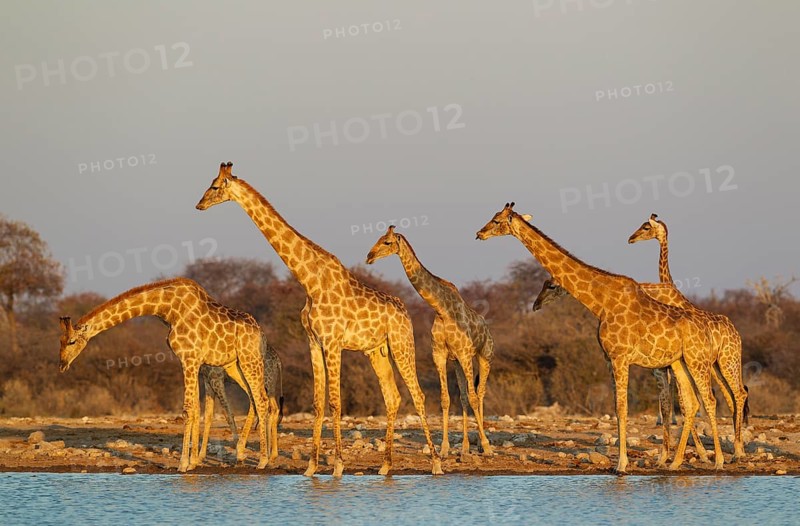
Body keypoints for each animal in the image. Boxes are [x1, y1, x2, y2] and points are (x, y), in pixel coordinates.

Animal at [59, 278, 274, 472]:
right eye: (59, 340)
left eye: (71, 341)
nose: (62, 364)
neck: (167, 309)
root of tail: (261, 333)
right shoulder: (192, 362)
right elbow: (196, 409)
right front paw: (193, 462)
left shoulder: (189, 358)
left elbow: (188, 409)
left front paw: (183, 464)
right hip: (234, 365)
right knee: (254, 399)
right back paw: (243, 455)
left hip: (249, 359)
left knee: (262, 400)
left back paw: (263, 461)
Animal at [196, 162, 443, 477]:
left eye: (215, 186)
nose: (199, 204)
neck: (309, 281)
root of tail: (405, 313)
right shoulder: (313, 342)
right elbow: (317, 402)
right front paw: (312, 466)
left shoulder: (333, 342)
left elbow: (336, 402)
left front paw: (337, 465)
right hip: (377, 350)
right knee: (393, 397)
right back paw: (385, 465)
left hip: (401, 344)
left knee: (418, 395)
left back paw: (436, 463)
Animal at [366, 226, 494, 458]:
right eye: (378, 239)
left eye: (387, 242)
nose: (369, 256)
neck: (441, 309)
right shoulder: (440, 355)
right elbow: (446, 399)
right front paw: (444, 449)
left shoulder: (464, 354)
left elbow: (472, 397)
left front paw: (487, 446)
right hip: (458, 363)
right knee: (464, 396)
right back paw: (465, 447)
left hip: (484, 356)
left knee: (478, 394)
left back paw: (482, 445)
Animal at [628, 213, 748, 460]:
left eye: (645, 227)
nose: (631, 238)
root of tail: (736, 333)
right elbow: (682, 402)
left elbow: (684, 403)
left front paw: (684, 453)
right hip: (718, 366)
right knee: (732, 396)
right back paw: (738, 449)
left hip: (728, 361)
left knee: (739, 393)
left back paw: (736, 452)